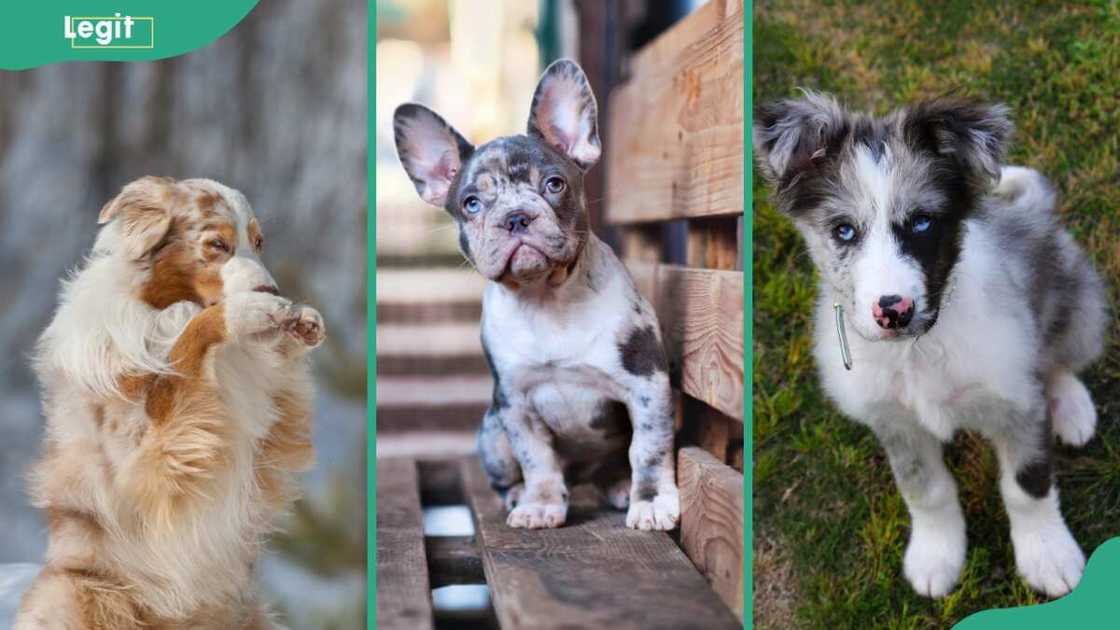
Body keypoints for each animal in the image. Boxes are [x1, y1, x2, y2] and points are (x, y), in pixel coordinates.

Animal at [394, 59, 676, 529]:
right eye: (471, 203)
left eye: (554, 184)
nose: (515, 217)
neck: (547, 298)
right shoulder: (515, 404)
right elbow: (537, 460)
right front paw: (541, 503)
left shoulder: (646, 385)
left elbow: (648, 450)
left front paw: (651, 501)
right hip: (491, 430)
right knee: (511, 473)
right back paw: (517, 495)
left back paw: (620, 485)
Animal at [757, 91, 1106, 591]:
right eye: (844, 230)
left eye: (922, 222)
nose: (894, 310)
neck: (918, 348)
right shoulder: (894, 421)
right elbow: (925, 491)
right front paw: (936, 556)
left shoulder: (1017, 400)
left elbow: (1027, 484)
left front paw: (1048, 554)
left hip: (1080, 309)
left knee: (1058, 359)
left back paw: (1072, 405)